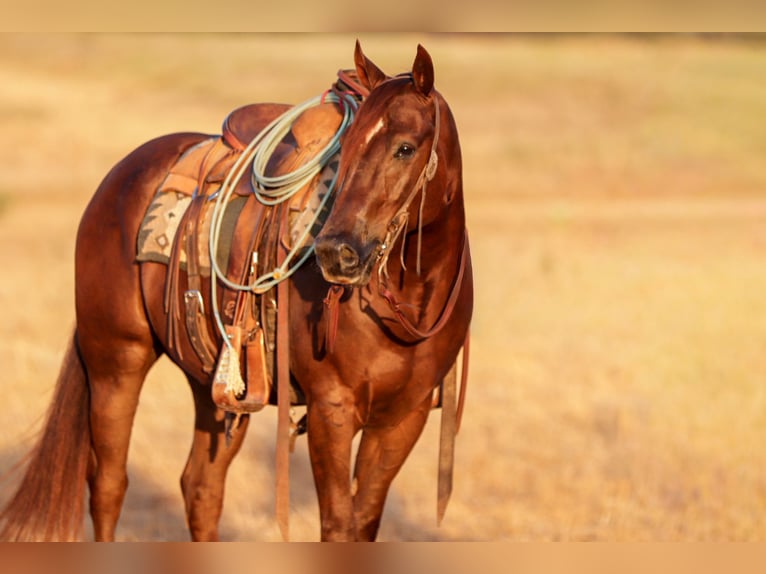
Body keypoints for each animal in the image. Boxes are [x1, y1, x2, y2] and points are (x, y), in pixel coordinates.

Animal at [0, 40, 473, 542]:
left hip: (213, 379)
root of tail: (120, 176)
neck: (411, 302)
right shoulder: (332, 409)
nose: (336, 253)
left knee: (200, 488)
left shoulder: (404, 418)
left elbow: (362, 523)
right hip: (116, 361)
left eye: (405, 148)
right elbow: (338, 524)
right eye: (347, 148)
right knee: (108, 483)